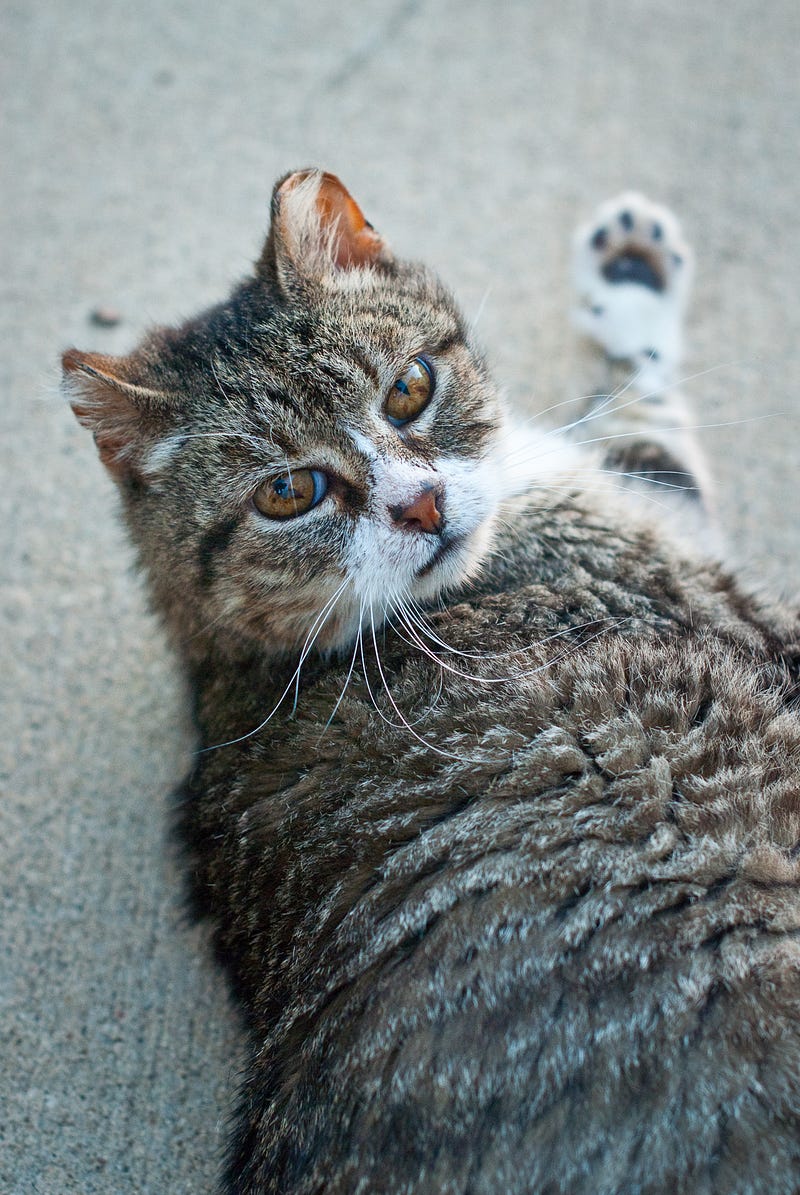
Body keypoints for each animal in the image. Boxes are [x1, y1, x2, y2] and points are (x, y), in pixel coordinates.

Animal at [63, 170, 798, 1195]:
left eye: (410, 388)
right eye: (287, 491)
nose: (423, 505)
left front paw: (628, 268)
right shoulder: (700, 582)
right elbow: (651, 419)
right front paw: (630, 284)